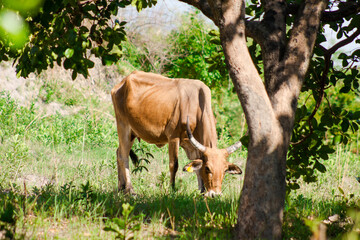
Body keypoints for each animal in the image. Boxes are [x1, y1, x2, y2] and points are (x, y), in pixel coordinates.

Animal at [111, 71, 243, 197]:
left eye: (225, 170)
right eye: (208, 168)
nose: (215, 194)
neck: (195, 104)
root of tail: (123, 82)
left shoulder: (193, 145)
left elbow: (196, 169)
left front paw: (201, 192)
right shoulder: (173, 137)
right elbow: (174, 164)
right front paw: (172, 190)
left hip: (132, 133)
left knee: (118, 152)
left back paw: (121, 187)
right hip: (123, 126)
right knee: (123, 156)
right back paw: (130, 190)